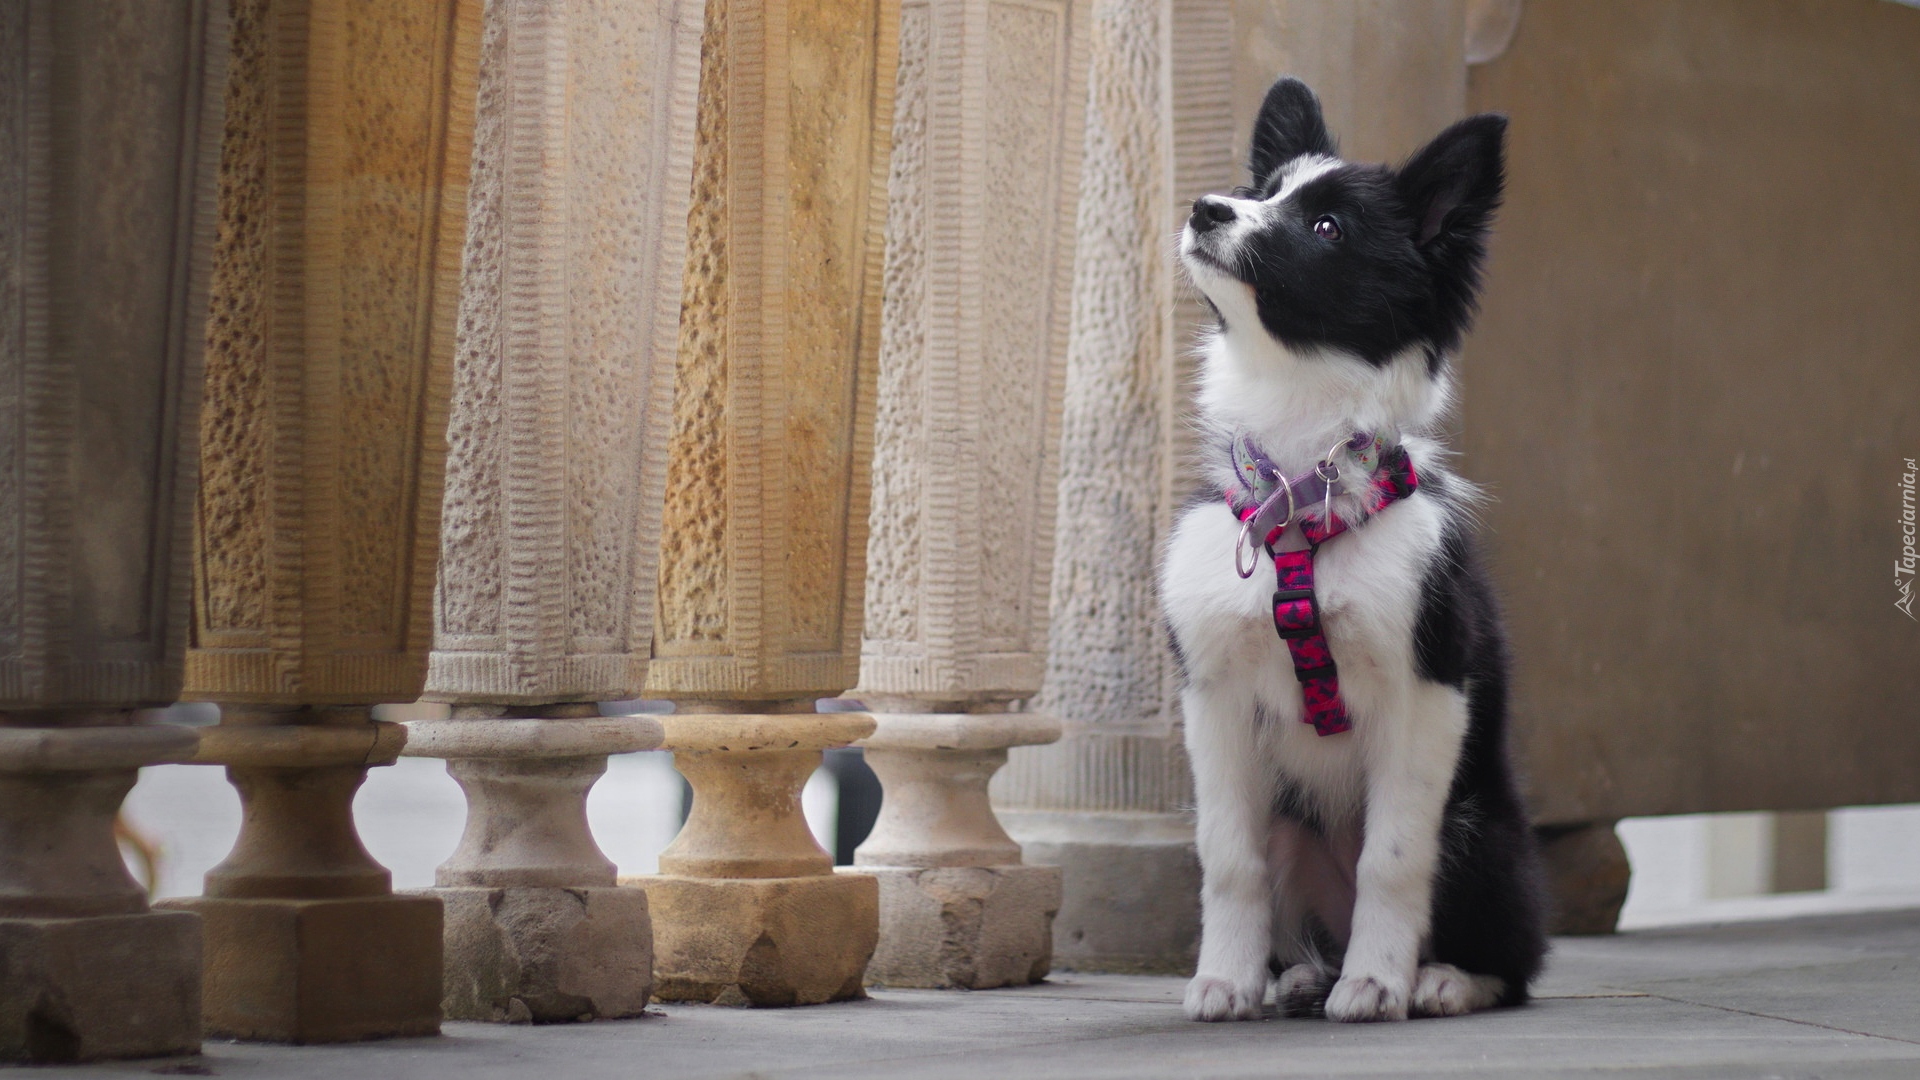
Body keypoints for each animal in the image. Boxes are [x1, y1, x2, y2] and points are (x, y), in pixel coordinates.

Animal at [1152, 79, 1543, 1022]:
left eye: (1328, 226)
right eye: (1263, 191)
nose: (1207, 208)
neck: (1297, 499)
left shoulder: (1427, 692)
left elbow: (1393, 859)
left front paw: (1379, 980)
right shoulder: (1215, 700)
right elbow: (1230, 857)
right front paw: (1225, 978)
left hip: (1482, 831)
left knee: (1516, 956)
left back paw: (1437, 978)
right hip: (1294, 824)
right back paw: (1297, 973)